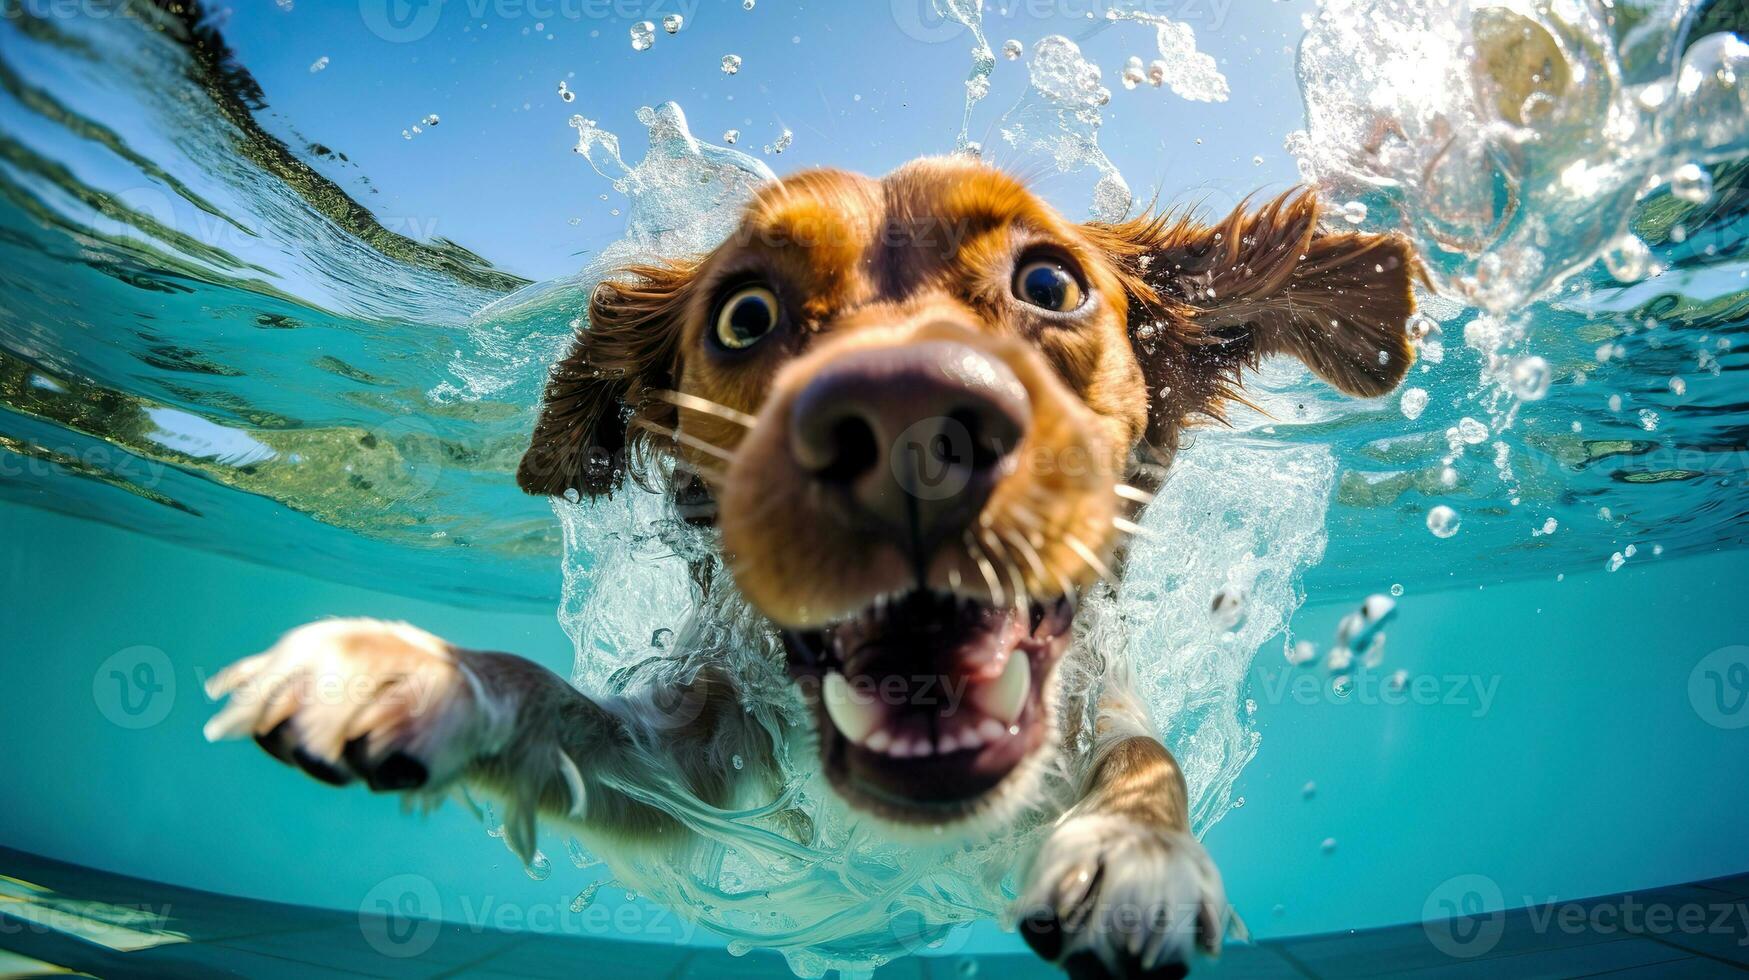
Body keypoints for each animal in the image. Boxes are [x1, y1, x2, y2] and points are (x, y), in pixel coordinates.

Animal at [204, 156, 1413, 973]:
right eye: (746, 314)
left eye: (1050, 285)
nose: (907, 422)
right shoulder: (698, 774)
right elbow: (563, 710)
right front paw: (418, 673)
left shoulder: (1094, 712)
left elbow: (1147, 758)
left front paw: (1140, 851)